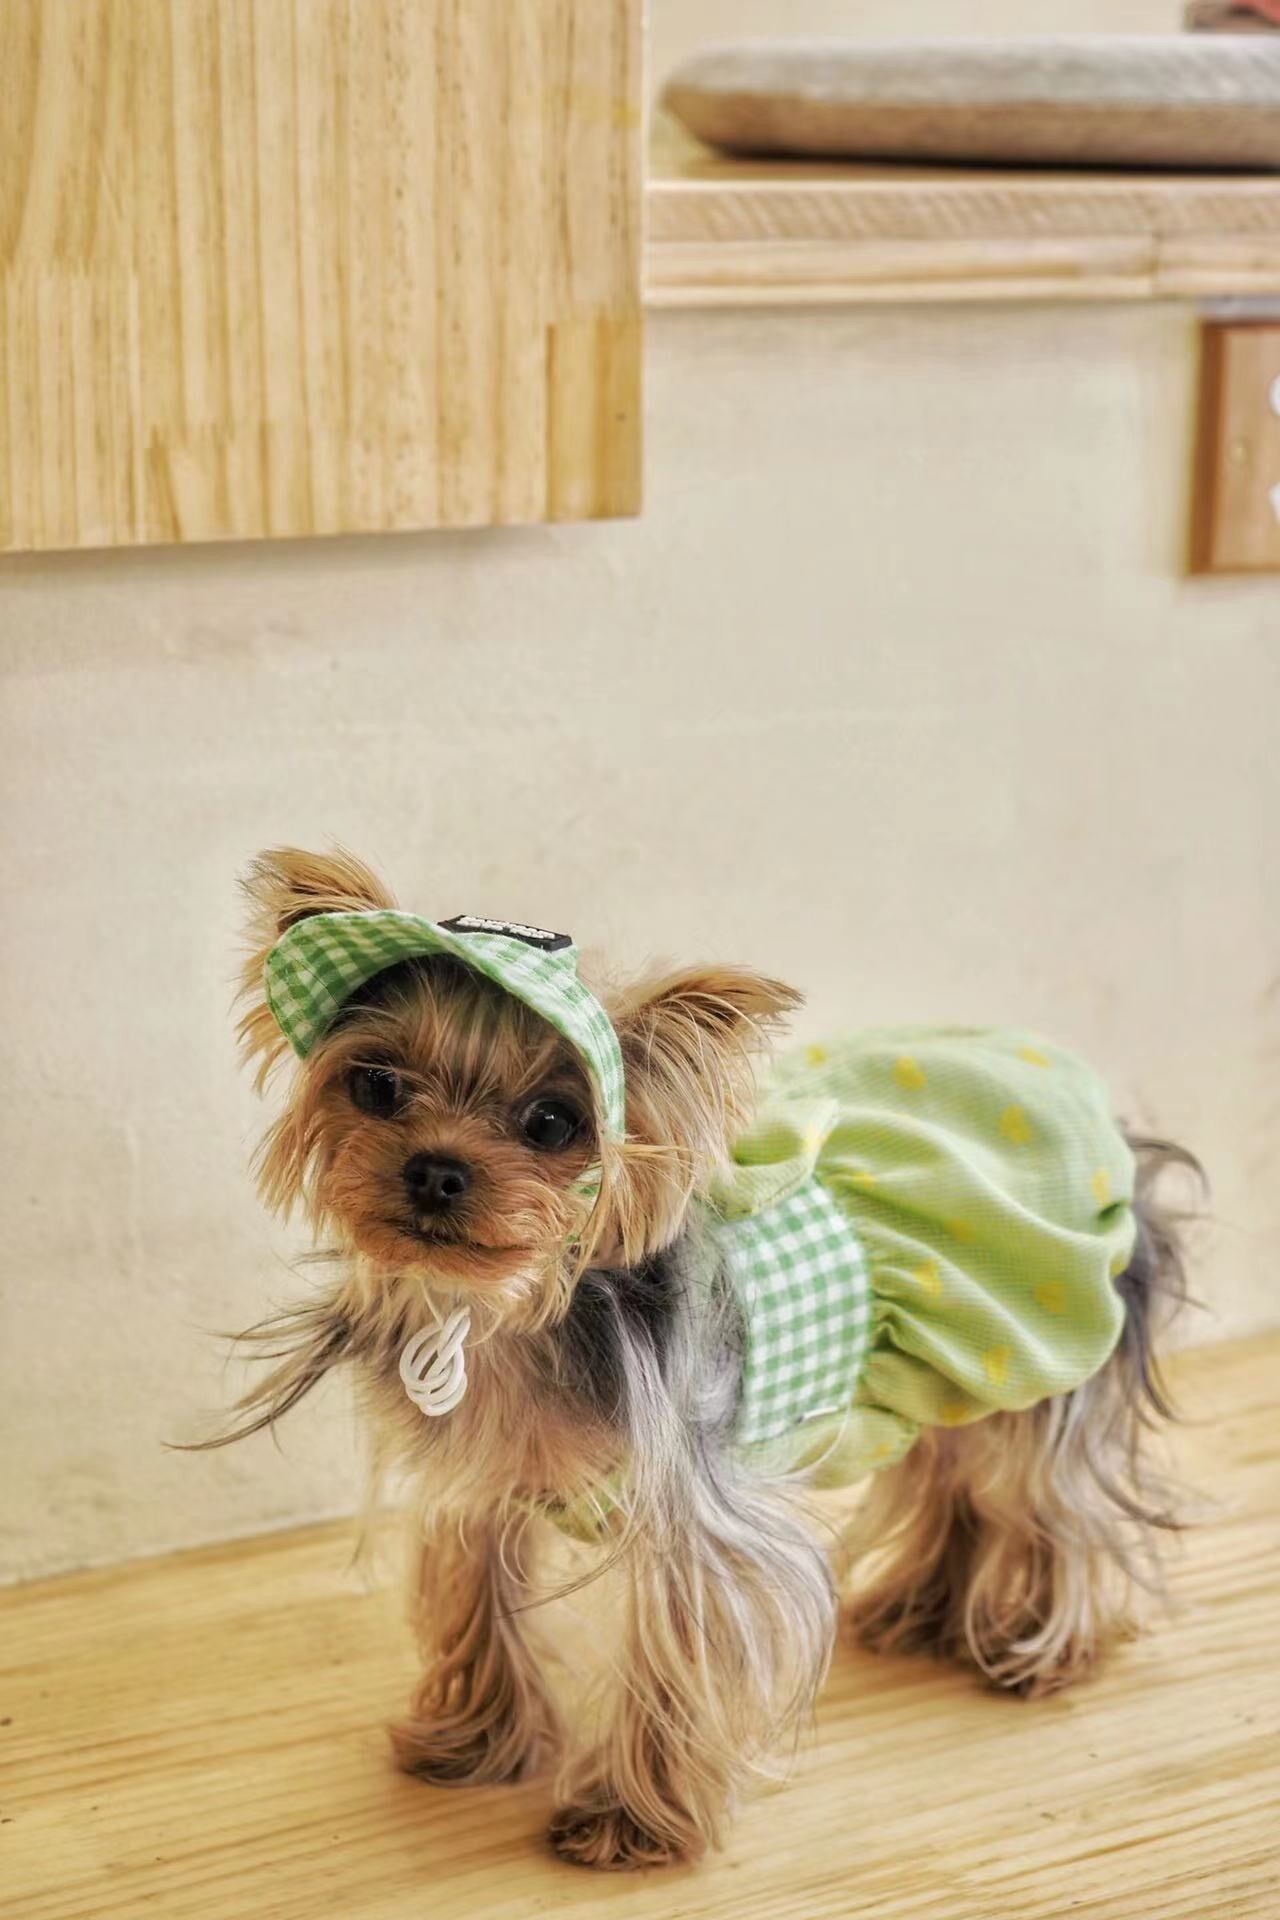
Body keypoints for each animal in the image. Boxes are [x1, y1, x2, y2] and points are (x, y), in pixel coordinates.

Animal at [200, 845, 1197, 1871]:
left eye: (553, 1123)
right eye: (376, 1085)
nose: (437, 1171)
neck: (501, 1318)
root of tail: (1104, 1120)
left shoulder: (697, 1518)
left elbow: (679, 1648)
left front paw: (630, 1823)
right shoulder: (482, 1484)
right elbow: (480, 1600)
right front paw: (473, 1744)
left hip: (1039, 1345)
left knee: (1048, 1496)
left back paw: (1045, 1647)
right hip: (957, 1374)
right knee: (959, 1474)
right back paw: (923, 1612)